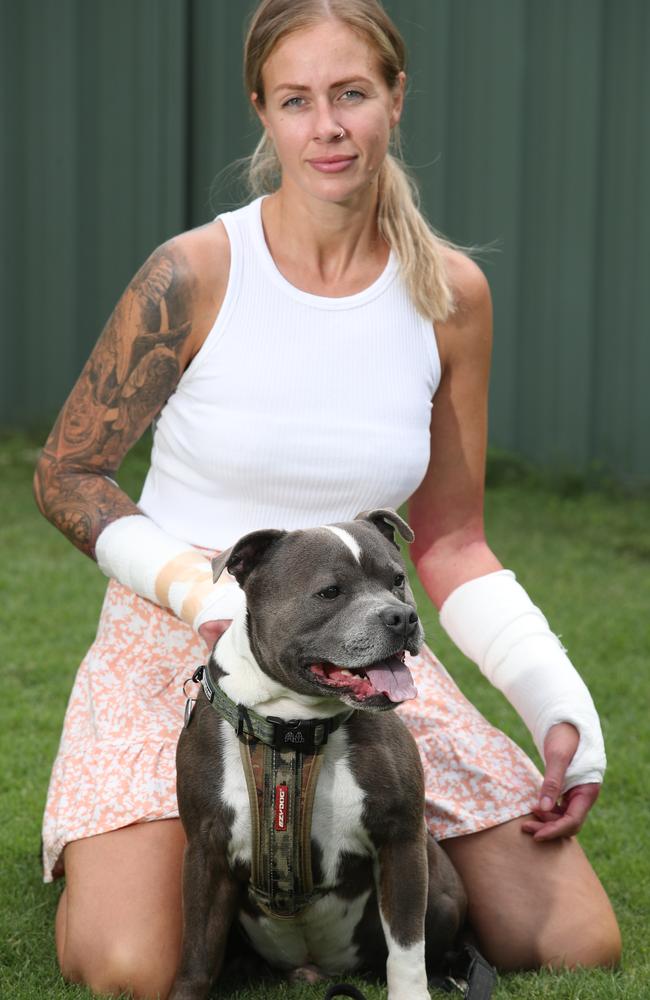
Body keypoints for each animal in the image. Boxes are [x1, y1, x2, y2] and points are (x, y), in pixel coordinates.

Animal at [170, 512, 466, 996]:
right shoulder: (205, 850)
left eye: (397, 580)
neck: (295, 731)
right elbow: (196, 953)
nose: (402, 616)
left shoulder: (401, 839)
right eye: (330, 592)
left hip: (442, 892)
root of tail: (318, 970)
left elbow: (407, 946)